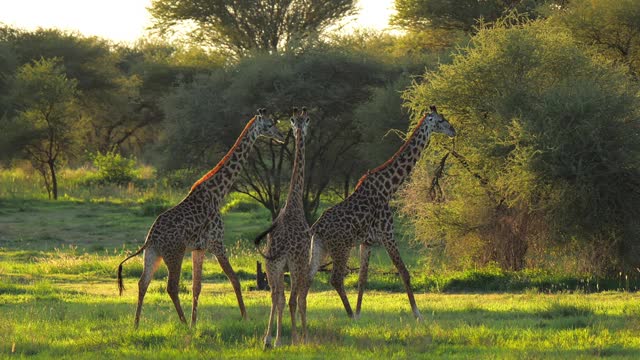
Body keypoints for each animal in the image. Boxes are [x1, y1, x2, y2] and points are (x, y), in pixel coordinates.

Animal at [115, 108, 284, 328]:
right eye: (270, 124)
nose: (282, 136)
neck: (218, 193)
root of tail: (150, 238)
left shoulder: (199, 248)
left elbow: (197, 287)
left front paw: (195, 323)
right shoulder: (217, 243)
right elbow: (235, 280)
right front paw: (245, 318)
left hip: (153, 254)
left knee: (143, 283)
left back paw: (136, 324)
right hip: (174, 254)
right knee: (171, 286)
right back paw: (182, 322)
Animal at [308, 105, 456, 320]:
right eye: (441, 120)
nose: (453, 130)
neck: (389, 188)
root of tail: (316, 227)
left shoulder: (367, 241)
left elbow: (362, 278)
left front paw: (359, 314)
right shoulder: (388, 234)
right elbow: (404, 272)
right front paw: (418, 314)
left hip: (320, 247)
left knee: (306, 277)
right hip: (341, 247)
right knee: (335, 279)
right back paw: (348, 315)